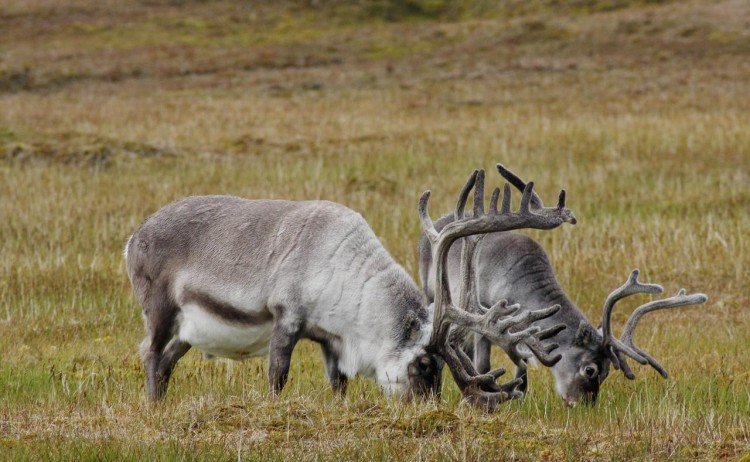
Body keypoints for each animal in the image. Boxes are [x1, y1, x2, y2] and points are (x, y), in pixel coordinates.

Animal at [124, 166, 575, 409]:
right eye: (424, 366)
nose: (428, 410)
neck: (342, 269)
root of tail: (135, 236)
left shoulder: (331, 339)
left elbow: (338, 384)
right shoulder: (287, 318)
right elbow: (277, 376)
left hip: (188, 330)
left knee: (167, 363)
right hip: (159, 308)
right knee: (150, 352)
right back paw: (151, 407)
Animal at [418, 164, 708, 407]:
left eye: (607, 372)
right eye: (590, 369)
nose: (582, 404)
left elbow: (521, 359)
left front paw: (519, 392)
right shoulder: (489, 313)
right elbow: (493, 356)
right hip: (434, 291)